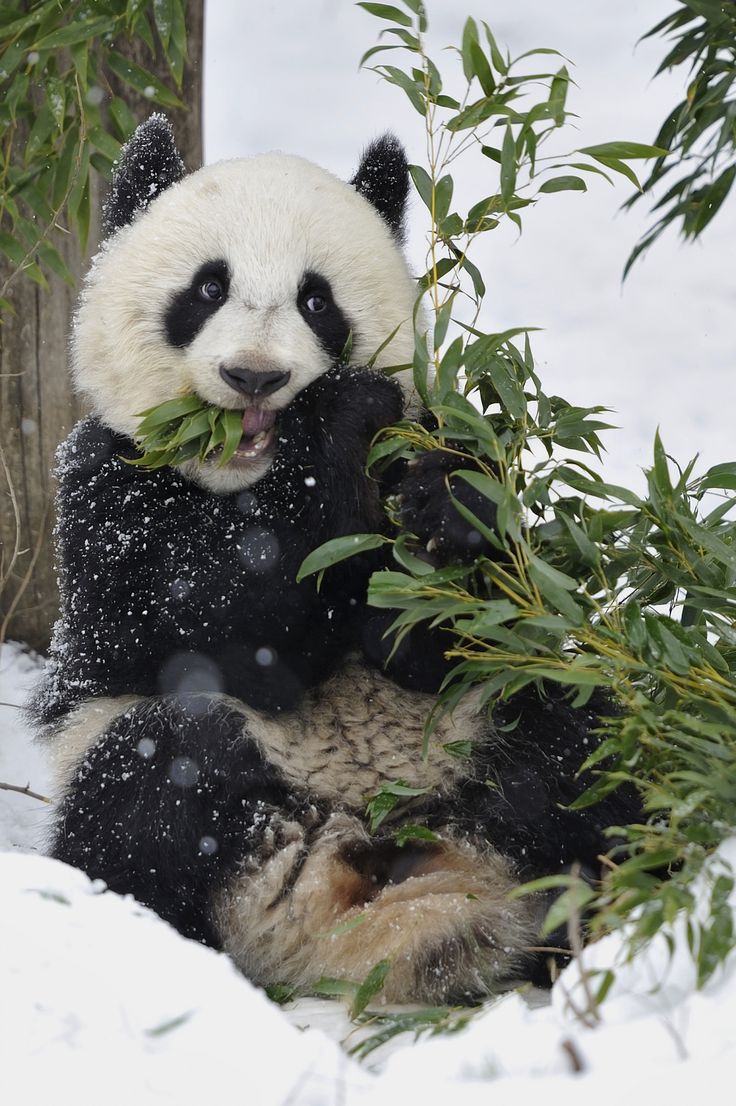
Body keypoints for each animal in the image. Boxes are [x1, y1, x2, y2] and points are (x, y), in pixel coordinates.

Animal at [31, 116, 637, 1008]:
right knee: (153, 776)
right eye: (207, 290)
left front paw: (448, 505)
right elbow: (229, 625)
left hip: (482, 738)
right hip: (185, 793)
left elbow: (433, 640)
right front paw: (339, 421)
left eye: (317, 301)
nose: (255, 376)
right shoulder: (107, 495)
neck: (244, 479)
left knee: (579, 753)